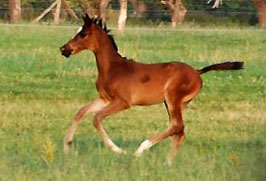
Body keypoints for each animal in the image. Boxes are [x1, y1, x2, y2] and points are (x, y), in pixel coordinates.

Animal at [59, 14, 243, 164]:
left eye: (83, 34)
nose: (64, 49)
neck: (113, 68)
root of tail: (197, 72)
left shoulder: (123, 102)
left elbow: (96, 118)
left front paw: (118, 150)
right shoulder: (106, 99)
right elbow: (81, 112)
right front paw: (67, 146)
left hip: (173, 99)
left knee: (177, 127)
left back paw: (141, 150)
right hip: (174, 103)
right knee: (179, 130)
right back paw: (167, 163)